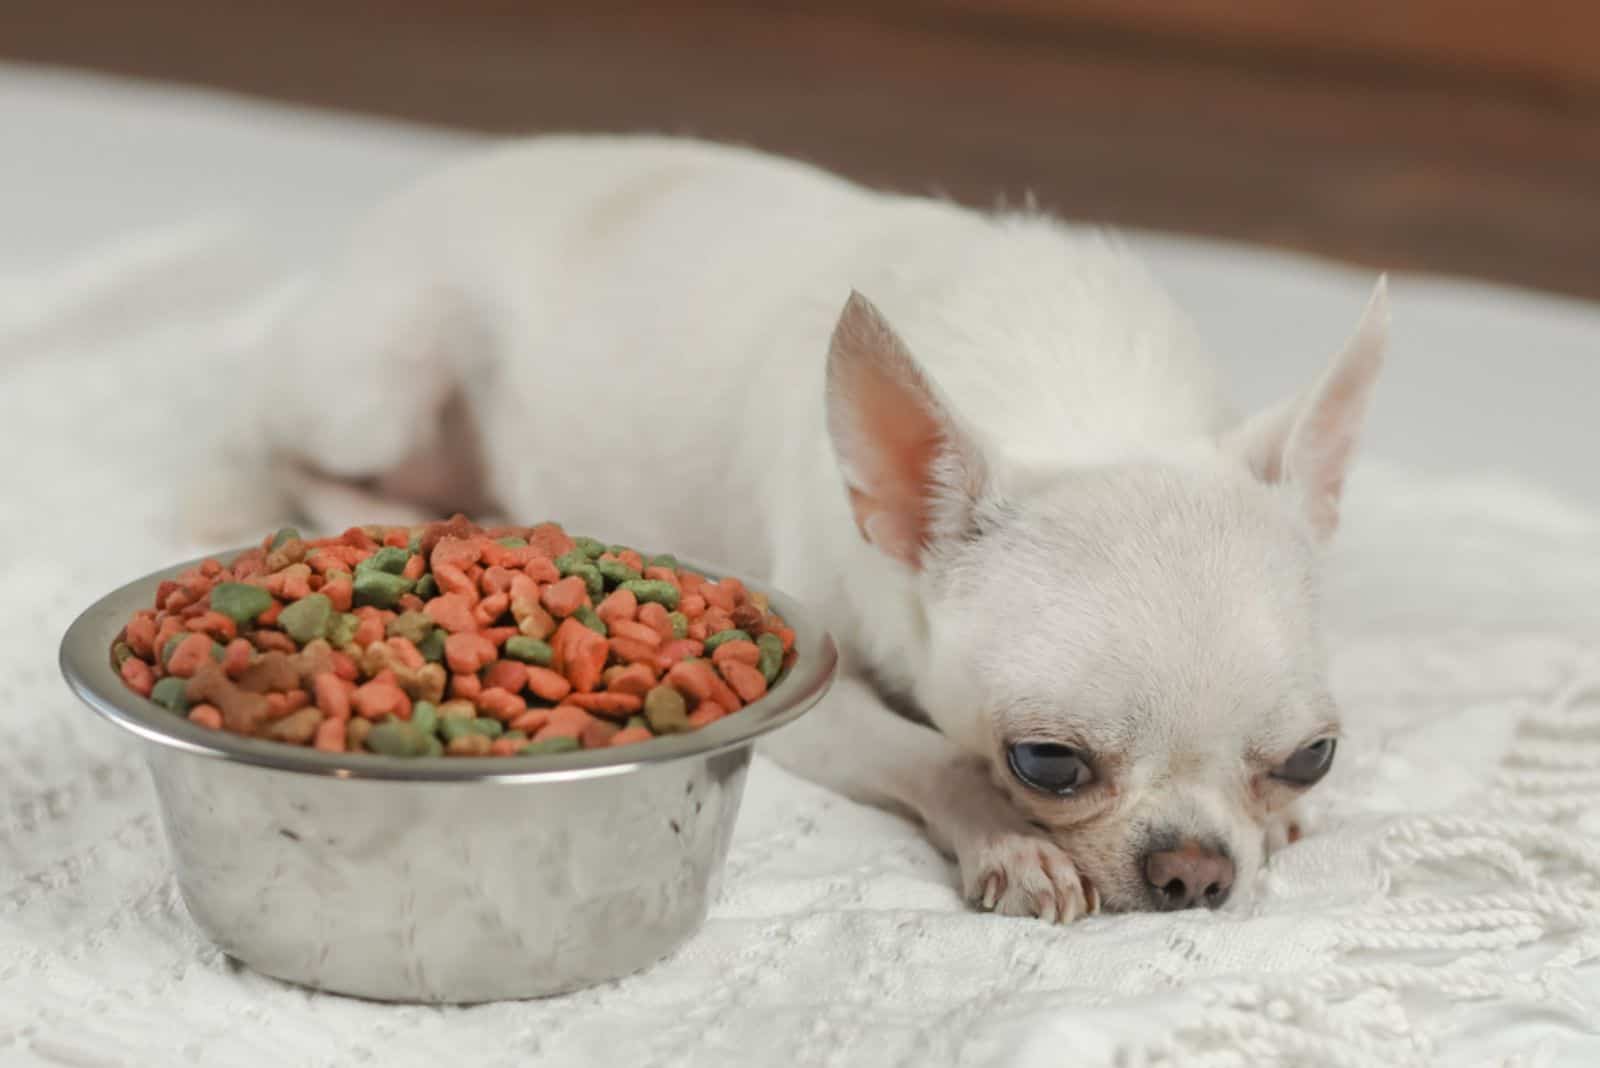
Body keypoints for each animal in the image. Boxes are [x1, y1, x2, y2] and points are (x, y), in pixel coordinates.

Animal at [196, 135, 1388, 920]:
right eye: (1046, 763)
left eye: (1313, 758)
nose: (1196, 872)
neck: (1083, 406)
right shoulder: (809, 697)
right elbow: (931, 757)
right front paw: (1010, 844)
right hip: (376, 383)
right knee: (291, 454)